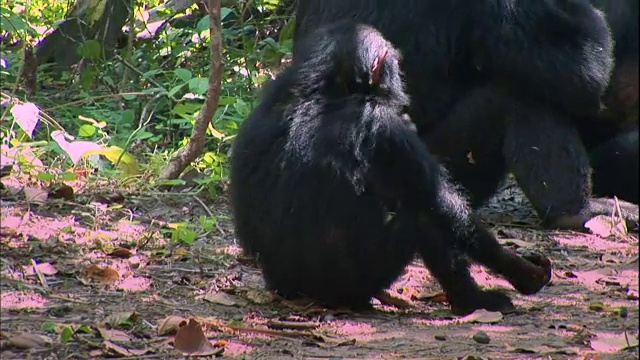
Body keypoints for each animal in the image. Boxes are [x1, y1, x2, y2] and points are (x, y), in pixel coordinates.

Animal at [231, 21, 556, 316]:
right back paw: (473, 302)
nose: (401, 78)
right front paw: (525, 271)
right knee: (422, 213)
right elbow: (440, 203)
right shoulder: (389, 130)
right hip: (354, 282)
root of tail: (294, 292)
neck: (327, 89)